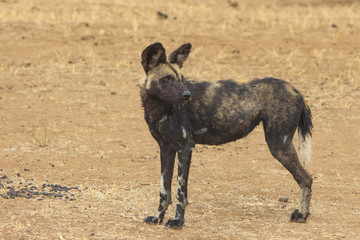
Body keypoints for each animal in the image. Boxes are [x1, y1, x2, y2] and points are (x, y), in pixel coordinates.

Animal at [139, 42, 314, 229]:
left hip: (279, 146)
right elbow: (164, 190)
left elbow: (180, 191)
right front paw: (157, 218)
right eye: (166, 79)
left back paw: (302, 215)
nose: (187, 95)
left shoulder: (185, 147)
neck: (159, 107)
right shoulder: (166, 149)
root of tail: (298, 92)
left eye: (181, 78)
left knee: (306, 179)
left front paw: (178, 221)